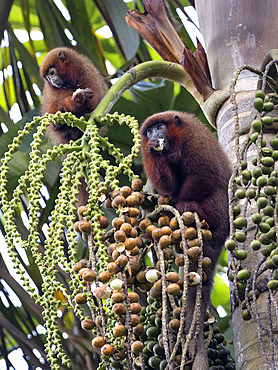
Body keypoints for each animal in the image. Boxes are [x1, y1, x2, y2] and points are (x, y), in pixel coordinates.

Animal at [140, 111, 231, 368]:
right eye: (149, 131)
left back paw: (194, 209)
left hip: (221, 212)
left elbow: (203, 174)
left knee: (213, 189)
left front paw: (181, 203)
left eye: (160, 127)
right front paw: (152, 150)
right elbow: (167, 185)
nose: (155, 134)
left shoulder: (193, 139)